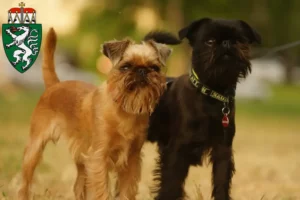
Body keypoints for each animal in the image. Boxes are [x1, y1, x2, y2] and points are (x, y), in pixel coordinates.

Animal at [17, 27, 171, 199]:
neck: (124, 111)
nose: (142, 70)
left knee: (78, 185)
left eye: (155, 68)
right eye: (125, 66)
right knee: (25, 180)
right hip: (35, 148)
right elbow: (101, 191)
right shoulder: (98, 157)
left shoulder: (132, 159)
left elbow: (126, 190)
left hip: (82, 155)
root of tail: (54, 85)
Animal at [144, 17, 262, 200]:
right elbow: (170, 184)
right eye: (210, 41)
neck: (212, 95)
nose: (226, 42)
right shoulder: (177, 151)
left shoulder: (223, 150)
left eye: (239, 40)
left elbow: (221, 181)